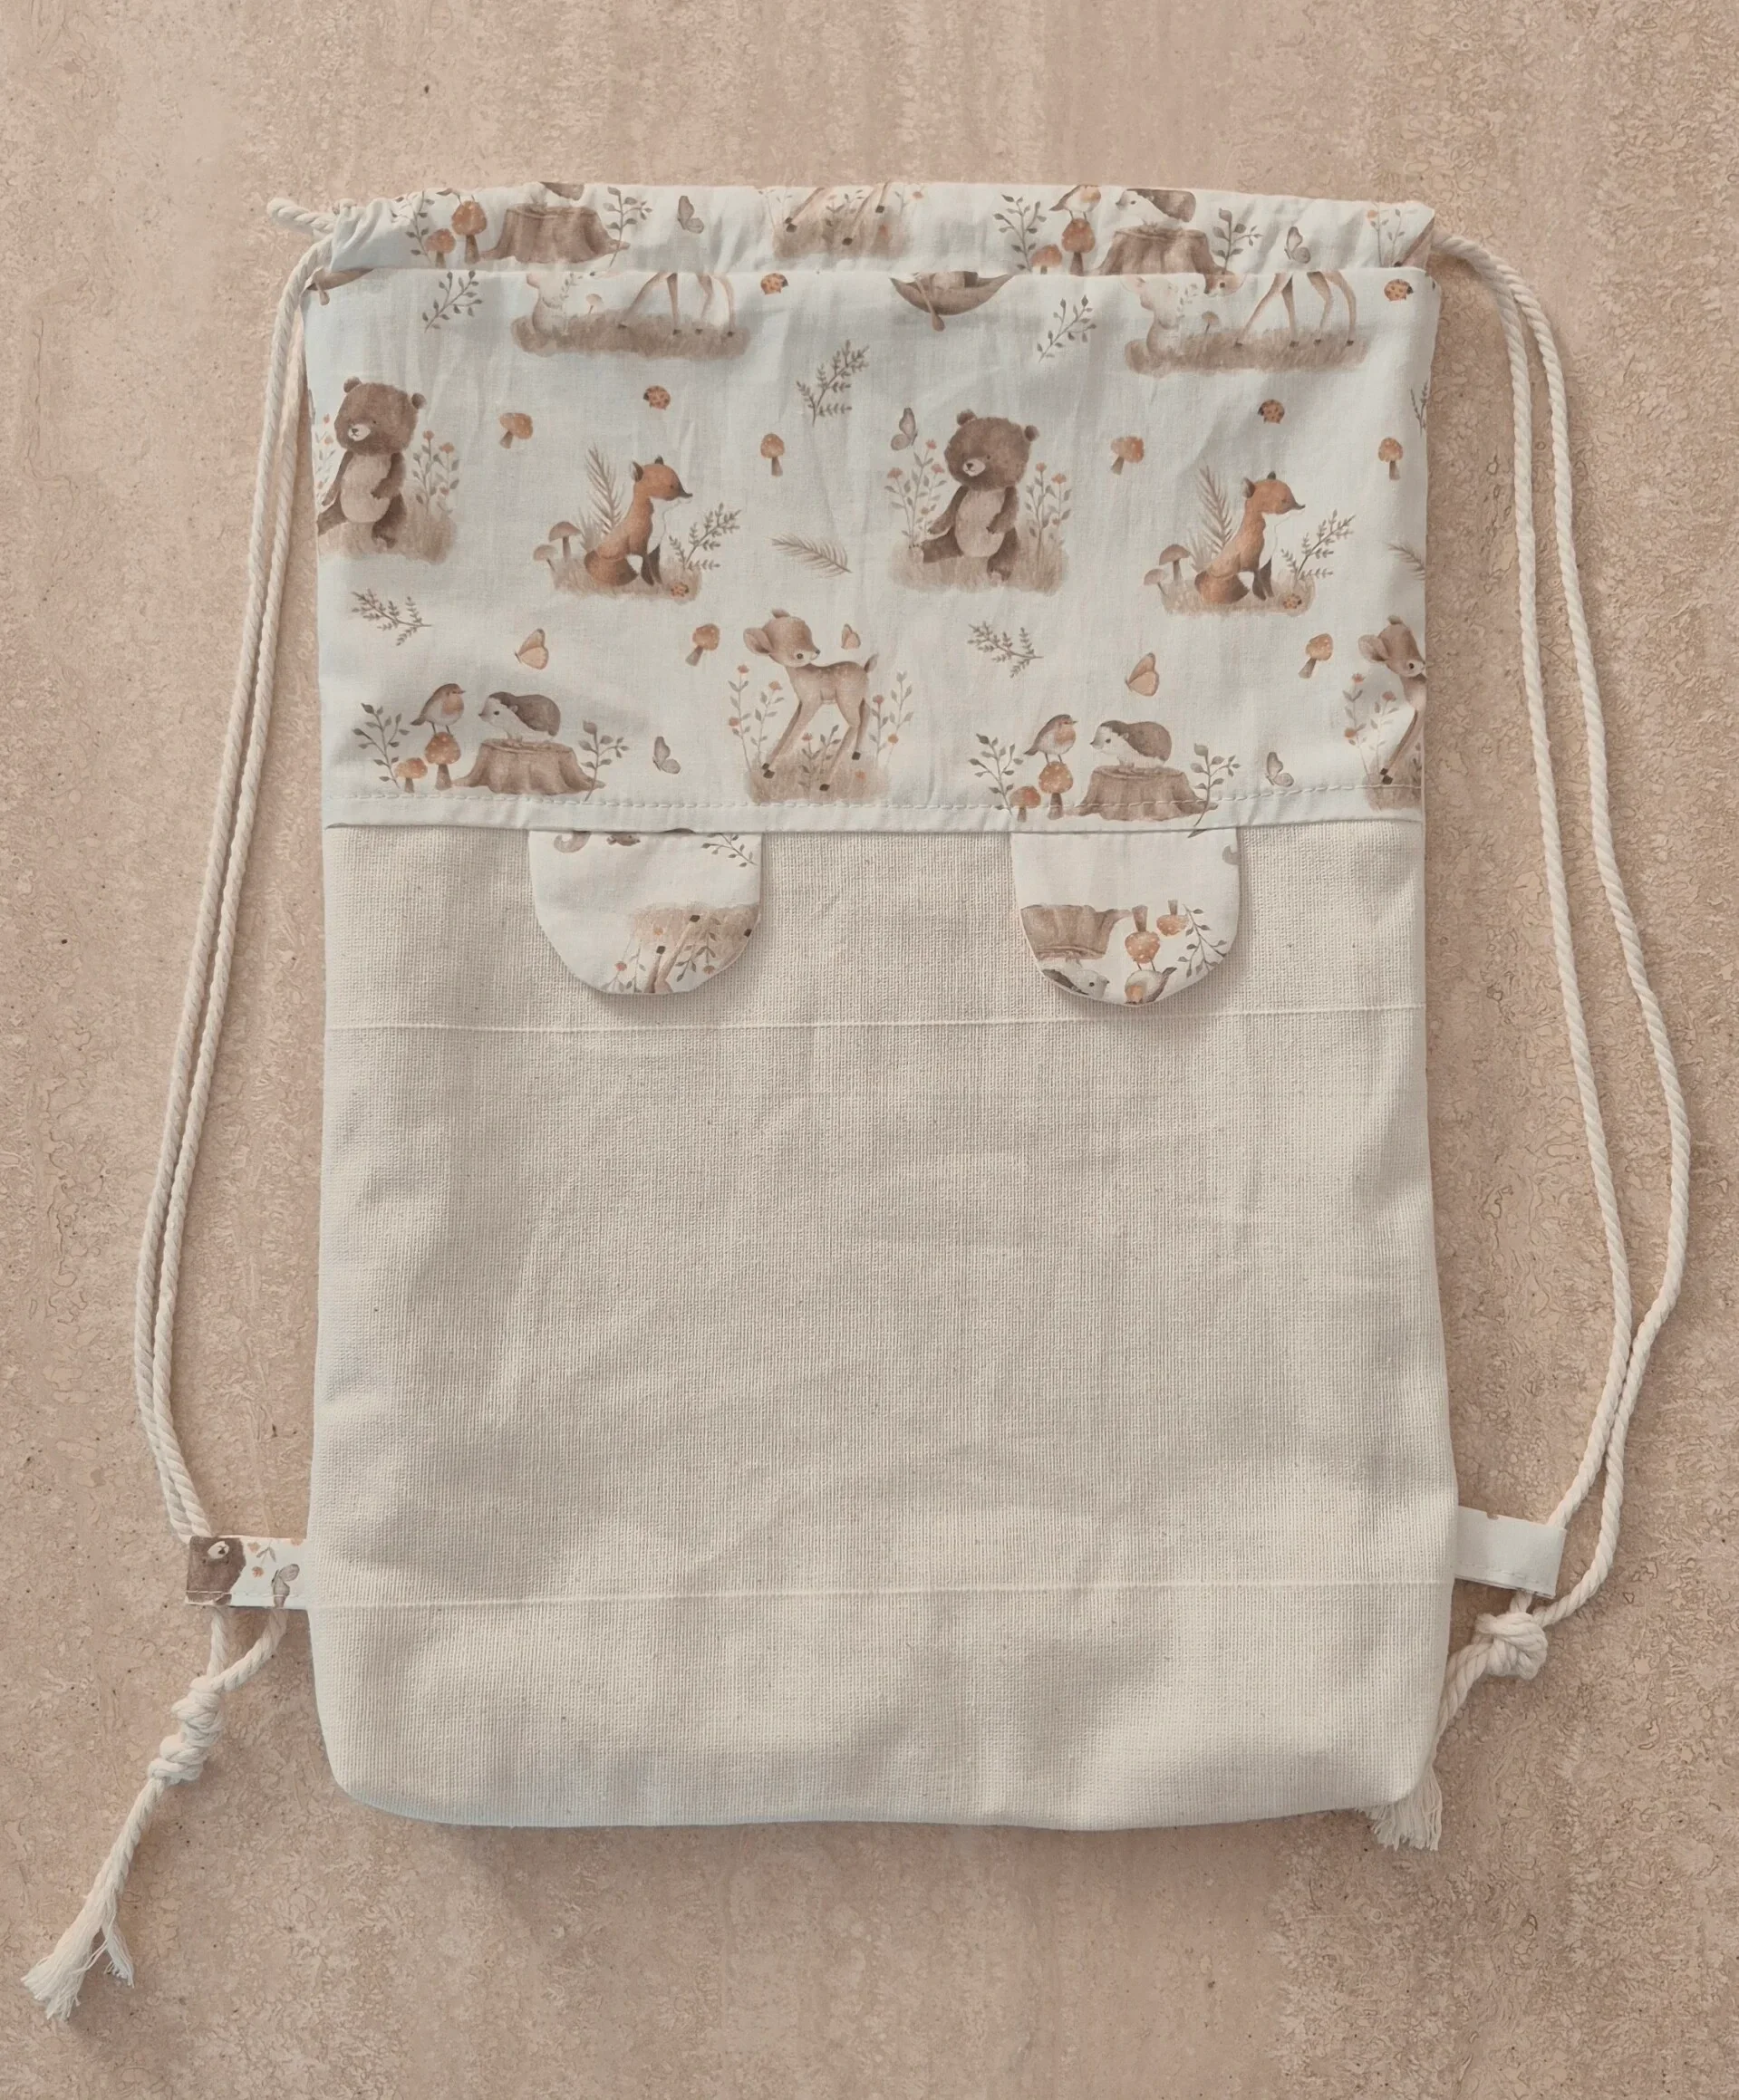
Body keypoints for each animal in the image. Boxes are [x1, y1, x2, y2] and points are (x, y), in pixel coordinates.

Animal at [316, 378, 425, 551]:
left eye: (374, 421)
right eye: (351, 418)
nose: (354, 430)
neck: (369, 454)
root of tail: (356, 520)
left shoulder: (394, 458)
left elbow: (397, 474)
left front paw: (378, 492)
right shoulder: (350, 456)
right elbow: (339, 474)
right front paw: (326, 498)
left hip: (392, 507)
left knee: (393, 521)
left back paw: (383, 540)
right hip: (340, 506)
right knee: (326, 517)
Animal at [582, 458, 692, 588]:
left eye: (679, 483)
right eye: (671, 487)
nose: (690, 495)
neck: (656, 524)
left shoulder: (655, 549)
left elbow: (656, 572)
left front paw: (661, 584)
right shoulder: (639, 547)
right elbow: (646, 571)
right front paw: (652, 586)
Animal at [743, 613, 878, 776]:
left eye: (810, 637)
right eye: (799, 655)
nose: (817, 651)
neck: (805, 677)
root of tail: (865, 670)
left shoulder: (812, 702)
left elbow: (796, 731)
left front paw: (770, 771)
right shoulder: (802, 704)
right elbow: (789, 728)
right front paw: (766, 764)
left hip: (846, 700)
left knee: (855, 723)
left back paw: (828, 777)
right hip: (860, 697)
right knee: (866, 713)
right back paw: (856, 754)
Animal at [922, 410, 1038, 581]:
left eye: (989, 456)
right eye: (964, 453)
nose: (970, 465)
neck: (983, 489)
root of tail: (971, 555)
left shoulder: (1009, 492)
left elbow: (1010, 510)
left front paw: (993, 527)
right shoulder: (964, 490)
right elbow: (951, 508)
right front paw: (934, 527)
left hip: (1006, 540)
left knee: (1007, 552)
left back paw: (997, 571)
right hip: (954, 536)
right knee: (939, 546)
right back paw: (920, 551)